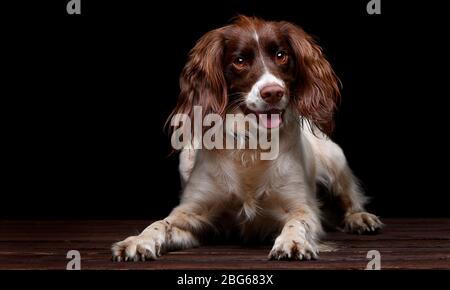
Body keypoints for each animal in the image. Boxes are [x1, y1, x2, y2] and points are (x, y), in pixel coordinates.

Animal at [112, 15, 384, 260]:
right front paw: (138, 241)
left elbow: (298, 222)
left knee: (350, 198)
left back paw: (361, 218)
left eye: (281, 55)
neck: (252, 146)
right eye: (240, 60)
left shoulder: (301, 207)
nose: (273, 92)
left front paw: (292, 242)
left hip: (335, 158)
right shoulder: (194, 213)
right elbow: (161, 223)